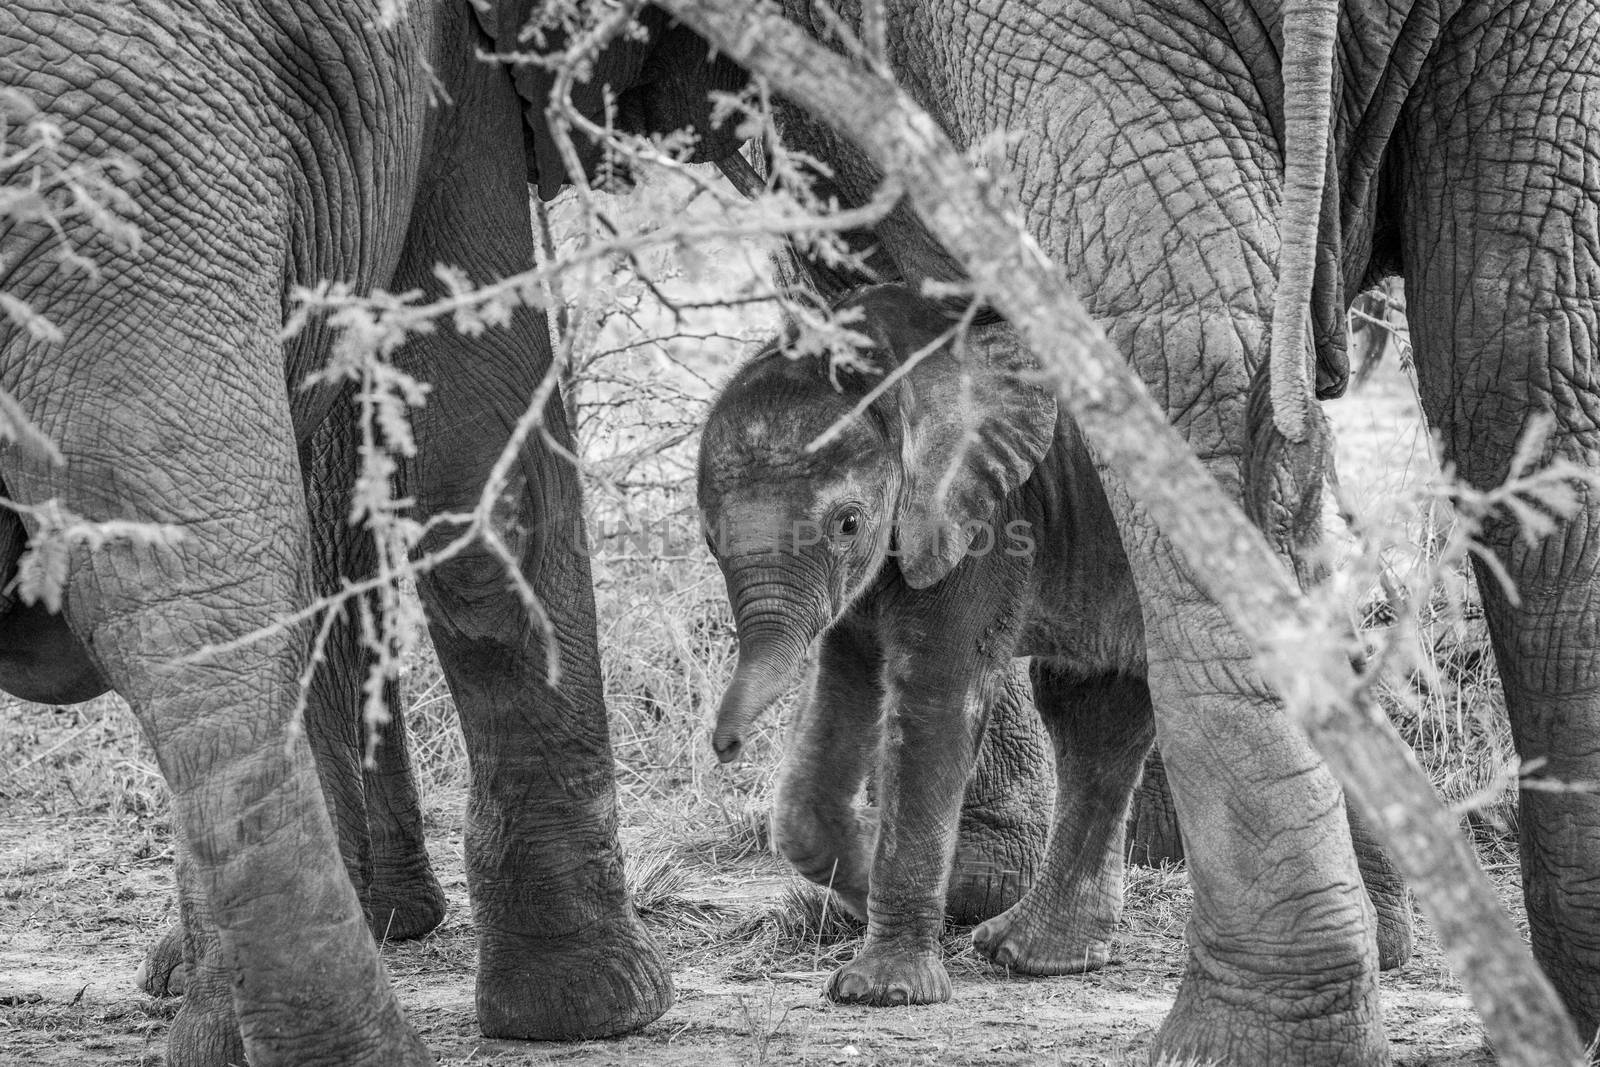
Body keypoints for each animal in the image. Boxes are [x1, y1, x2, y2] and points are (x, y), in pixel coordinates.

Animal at [700, 283, 1414, 1011]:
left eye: (847, 523)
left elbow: (935, 695)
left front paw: (884, 991)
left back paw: (1380, 947)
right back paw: (1032, 955)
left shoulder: (988, 517)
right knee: (1092, 705)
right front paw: (866, 867)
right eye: (707, 536)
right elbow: (844, 688)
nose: (724, 747)